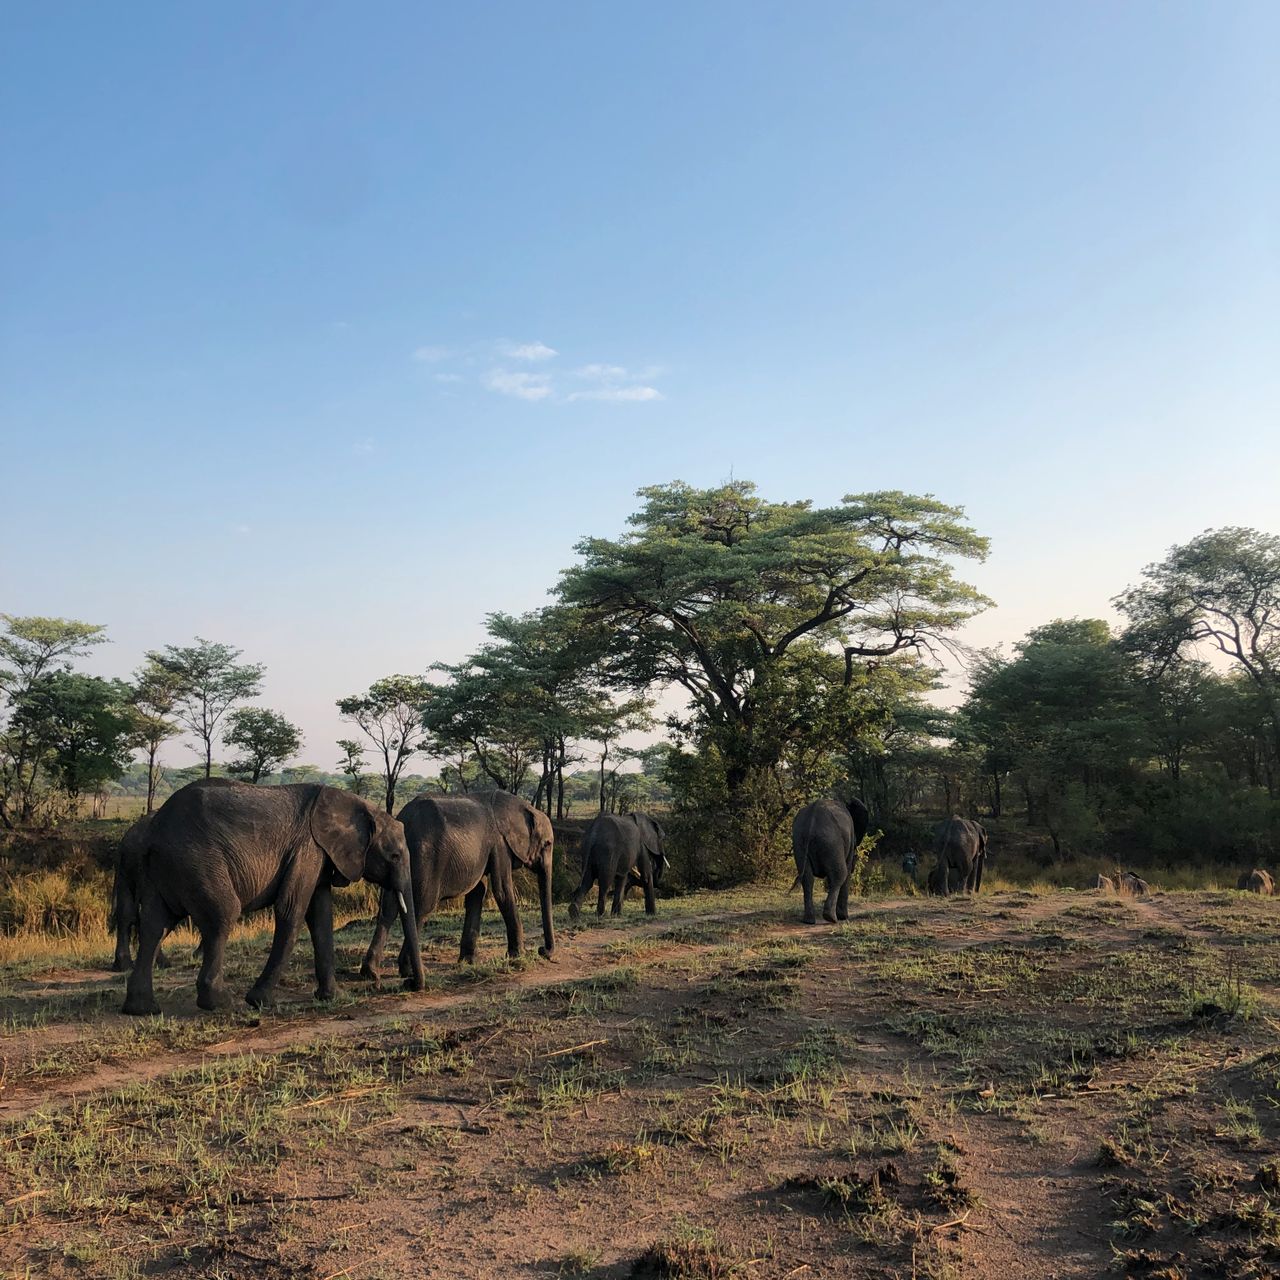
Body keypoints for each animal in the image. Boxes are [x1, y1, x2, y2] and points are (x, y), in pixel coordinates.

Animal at [121, 779, 424, 1016]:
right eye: (394, 856)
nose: (408, 983)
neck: (360, 806)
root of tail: (155, 830)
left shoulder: (319, 855)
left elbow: (321, 916)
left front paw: (333, 998)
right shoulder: (308, 848)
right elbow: (292, 910)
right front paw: (259, 1001)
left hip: (163, 869)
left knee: (154, 925)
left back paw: (142, 1009)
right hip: (197, 862)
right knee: (222, 915)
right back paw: (220, 1003)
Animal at [360, 790, 555, 981]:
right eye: (547, 844)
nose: (542, 951)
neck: (522, 806)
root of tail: (405, 818)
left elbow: (478, 892)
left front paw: (468, 962)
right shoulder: (500, 844)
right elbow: (502, 890)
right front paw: (519, 956)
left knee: (389, 909)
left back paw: (371, 973)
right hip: (426, 858)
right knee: (422, 908)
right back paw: (410, 972)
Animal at [791, 796, 870, 924]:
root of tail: (812, 819)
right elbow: (847, 872)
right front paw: (844, 917)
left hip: (799, 841)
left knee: (807, 878)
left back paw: (809, 920)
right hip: (832, 841)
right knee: (840, 874)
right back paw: (832, 918)